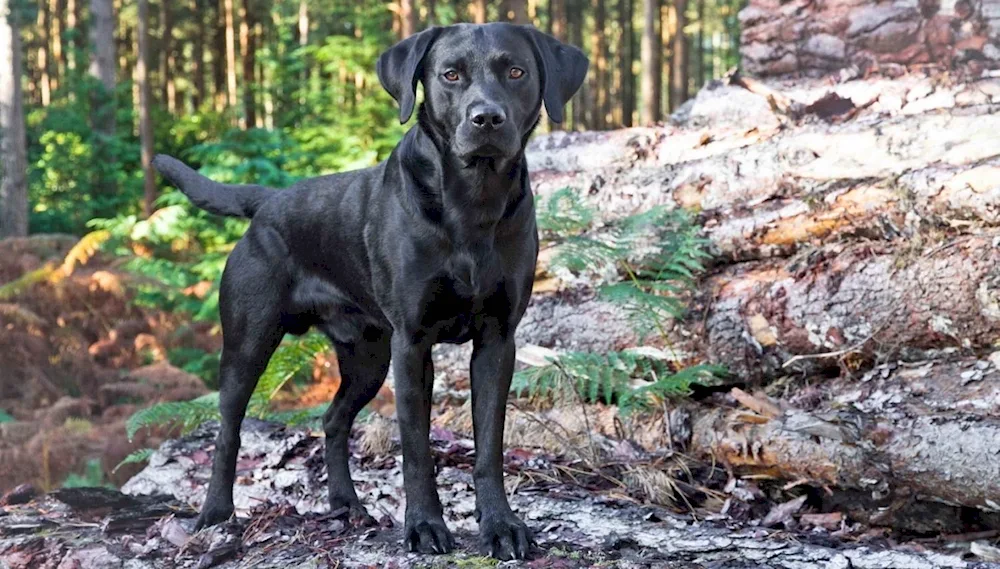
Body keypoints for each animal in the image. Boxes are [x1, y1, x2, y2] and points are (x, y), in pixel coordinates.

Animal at [149, 22, 584, 560]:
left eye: (517, 72)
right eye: (451, 74)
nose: (486, 118)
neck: (472, 205)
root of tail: (267, 202)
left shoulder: (497, 341)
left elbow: (489, 446)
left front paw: (500, 525)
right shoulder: (412, 343)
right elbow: (416, 448)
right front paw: (424, 526)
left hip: (367, 359)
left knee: (334, 420)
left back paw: (346, 504)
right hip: (249, 344)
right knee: (229, 429)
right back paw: (215, 514)